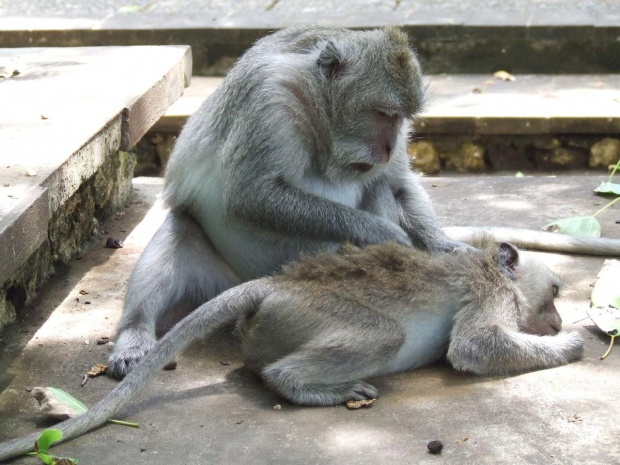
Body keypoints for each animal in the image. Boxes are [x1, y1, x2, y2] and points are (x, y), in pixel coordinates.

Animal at [0, 239, 584, 460]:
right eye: (555, 292)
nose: (556, 321)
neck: (489, 265)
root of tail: (274, 287)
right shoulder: (490, 294)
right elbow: (474, 346)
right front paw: (572, 344)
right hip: (313, 312)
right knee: (379, 336)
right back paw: (304, 385)